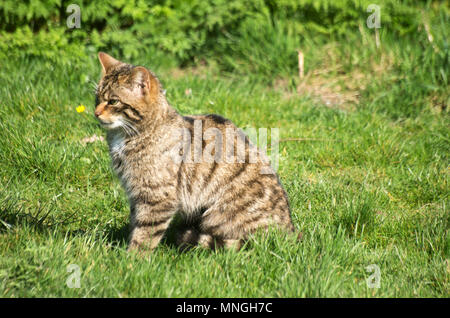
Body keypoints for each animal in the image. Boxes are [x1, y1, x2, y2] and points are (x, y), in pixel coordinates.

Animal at [94, 52, 296, 251]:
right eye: (96, 98)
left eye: (113, 101)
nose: (95, 113)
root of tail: (290, 231)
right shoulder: (136, 195)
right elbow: (136, 223)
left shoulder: (156, 197)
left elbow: (144, 234)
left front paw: (131, 258)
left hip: (219, 217)